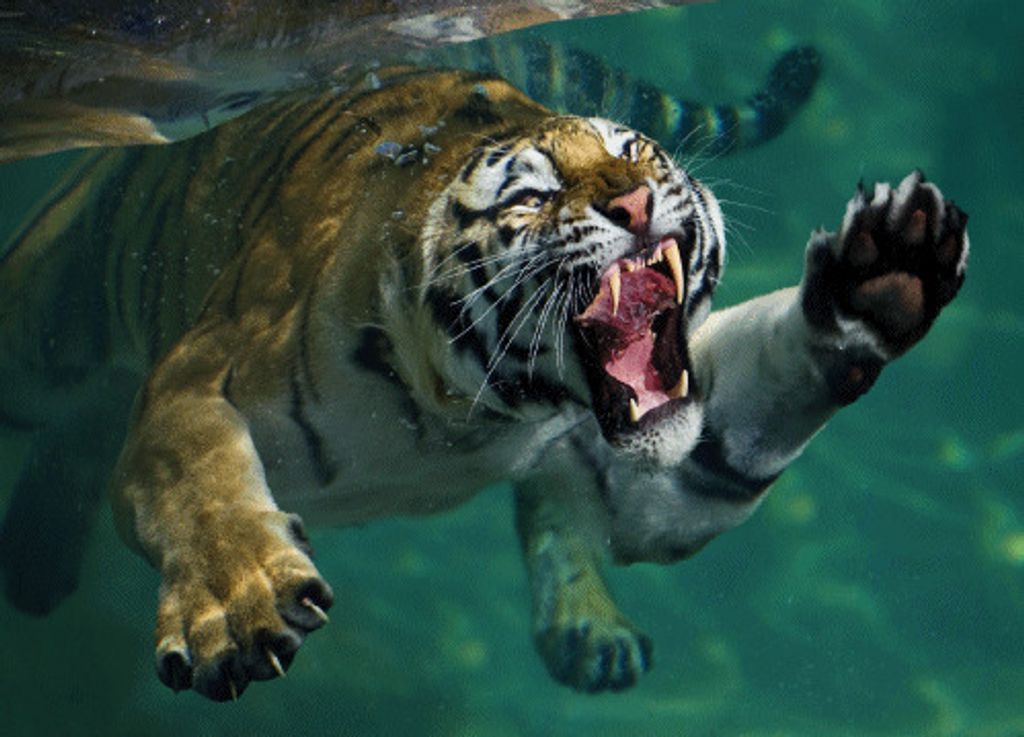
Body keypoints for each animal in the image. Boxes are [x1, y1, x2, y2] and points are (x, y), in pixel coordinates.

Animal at [0, 51, 968, 701]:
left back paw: (589, 628)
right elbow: (198, 480)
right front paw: (240, 610)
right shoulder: (203, 372)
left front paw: (882, 279)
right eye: (532, 196)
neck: (471, 415)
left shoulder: (647, 478)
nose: (637, 199)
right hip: (42, 320)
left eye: (639, 153)